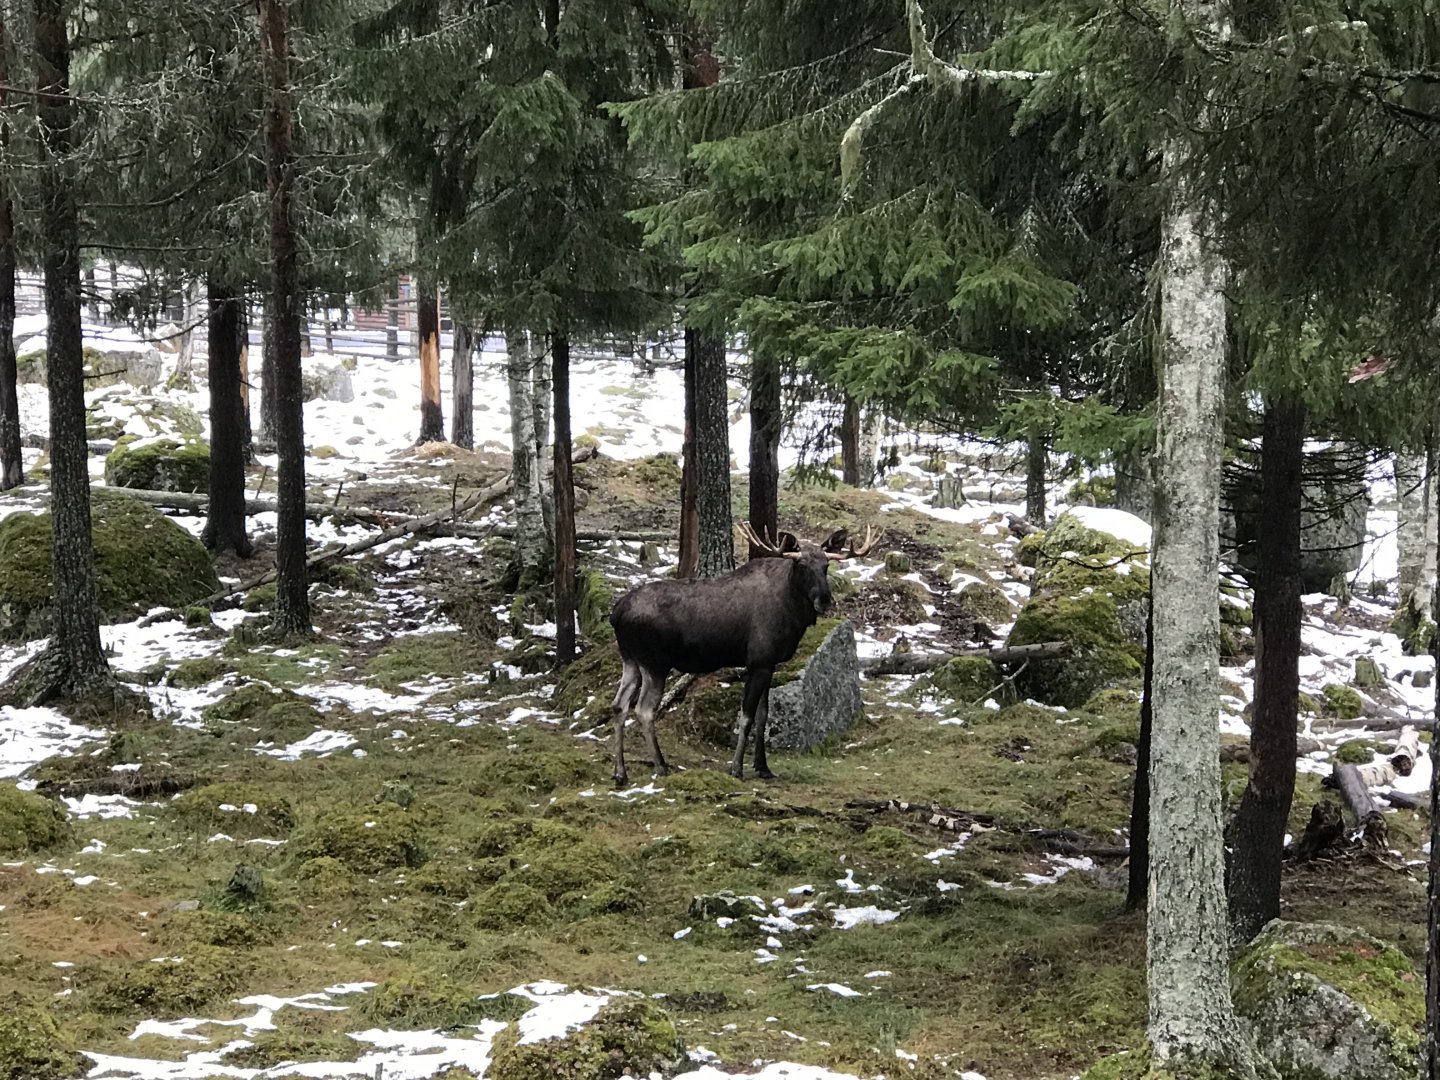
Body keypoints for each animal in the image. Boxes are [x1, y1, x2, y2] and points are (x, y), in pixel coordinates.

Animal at [607, 522, 878, 788]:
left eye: (826, 566)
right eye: (801, 565)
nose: (824, 600)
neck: (792, 615)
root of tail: (616, 614)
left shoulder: (768, 664)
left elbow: (763, 716)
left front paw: (763, 767)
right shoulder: (758, 661)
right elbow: (747, 717)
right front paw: (736, 768)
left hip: (630, 660)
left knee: (619, 705)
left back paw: (620, 773)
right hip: (654, 663)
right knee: (643, 710)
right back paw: (661, 767)